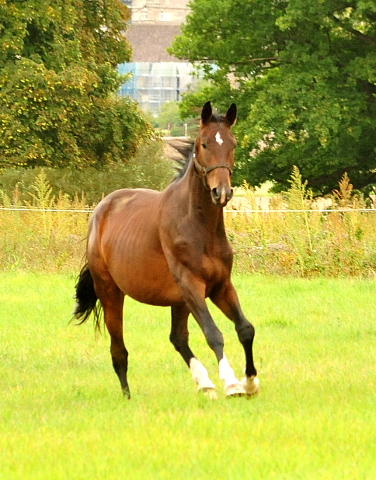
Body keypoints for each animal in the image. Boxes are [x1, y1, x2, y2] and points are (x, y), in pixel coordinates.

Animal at [74, 100, 262, 398]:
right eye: (204, 144)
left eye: (232, 144)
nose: (221, 192)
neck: (199, 227)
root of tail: (100, 212)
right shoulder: (191, 285)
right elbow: (213, 333)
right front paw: (232, 383)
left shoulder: (220, 286)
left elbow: (245, 329)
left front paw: (250, 382)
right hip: (111, 292)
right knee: (119, 350)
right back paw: (128, 396)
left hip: (178, 300)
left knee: (178, 338)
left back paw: (205, 384)